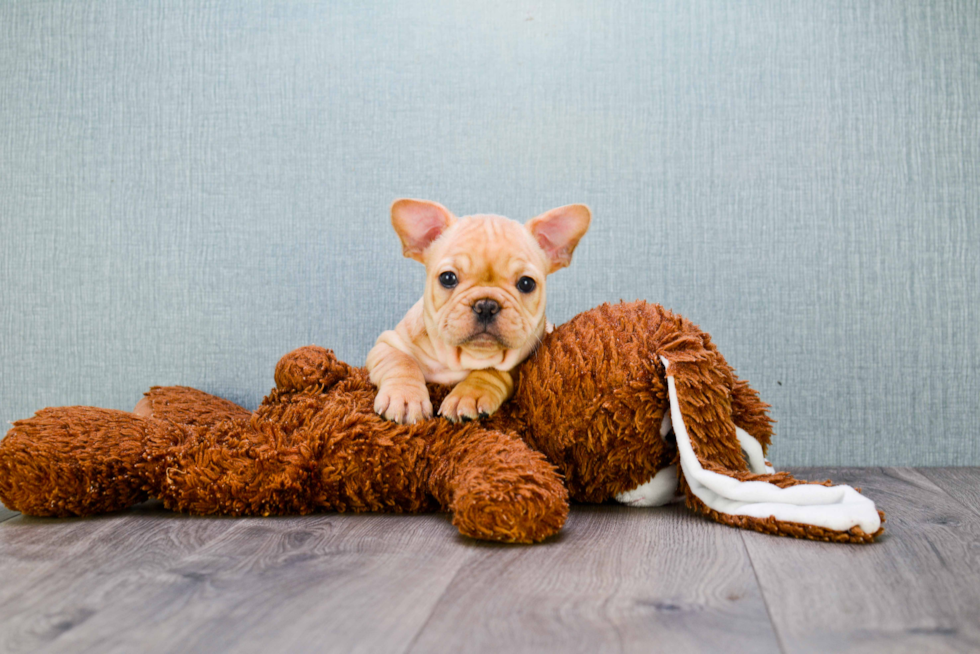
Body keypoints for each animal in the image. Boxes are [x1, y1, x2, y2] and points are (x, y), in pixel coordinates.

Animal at [370, 200, 588, 426]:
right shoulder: (388, 344)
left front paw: (468, 395)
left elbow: (491, 371)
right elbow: (401, 363)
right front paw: (404, 397)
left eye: (527, 283)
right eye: (447, 278)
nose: (486, 305)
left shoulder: (521, 361)